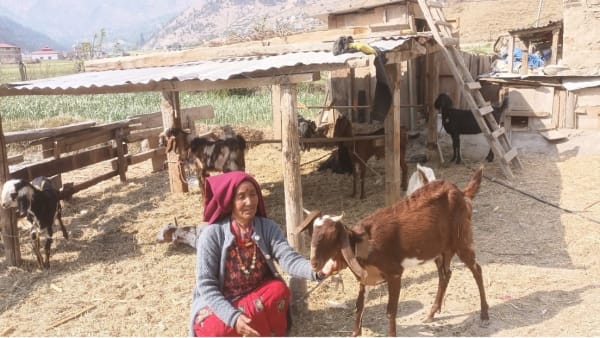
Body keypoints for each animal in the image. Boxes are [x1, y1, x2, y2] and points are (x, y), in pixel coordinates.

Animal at [300, 168, 488, 336]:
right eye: (312, 233)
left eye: (331, 235)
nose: (314, 263)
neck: (365, 242)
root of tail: (462, 193)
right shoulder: (366, 278)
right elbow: (359, 307)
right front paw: (354, 333)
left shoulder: (395, 273)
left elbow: (391, 311)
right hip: (440, 250)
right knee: (445, 274)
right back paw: (432, 313)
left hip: (462, 240)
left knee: (476, 270)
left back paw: (484, 314)